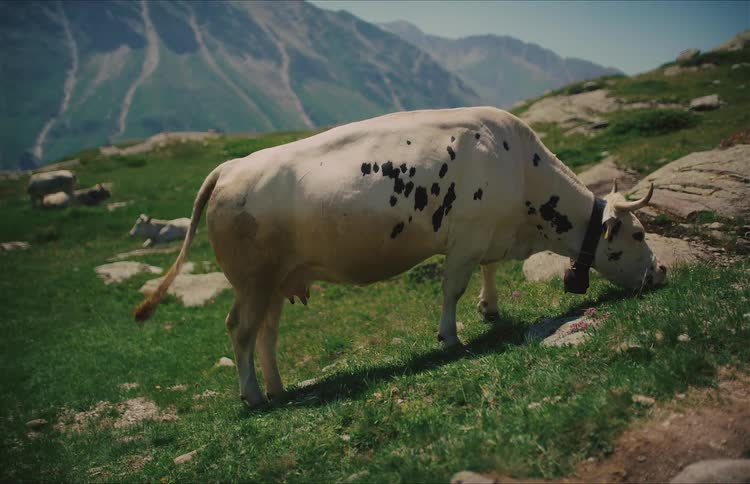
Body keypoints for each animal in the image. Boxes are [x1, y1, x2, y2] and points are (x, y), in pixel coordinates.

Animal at [133, 107, 667, 407]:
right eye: (639, 233)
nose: (661, 271)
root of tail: (229, 167)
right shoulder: (466, 238)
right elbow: (452, 288)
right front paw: (451, 337)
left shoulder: (487, 234)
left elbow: (490, 271)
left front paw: (491, 310)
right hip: (252, 280)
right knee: (239, 330)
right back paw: (252, 395)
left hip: (276, 283)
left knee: (265, 334)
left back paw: (279, 389)